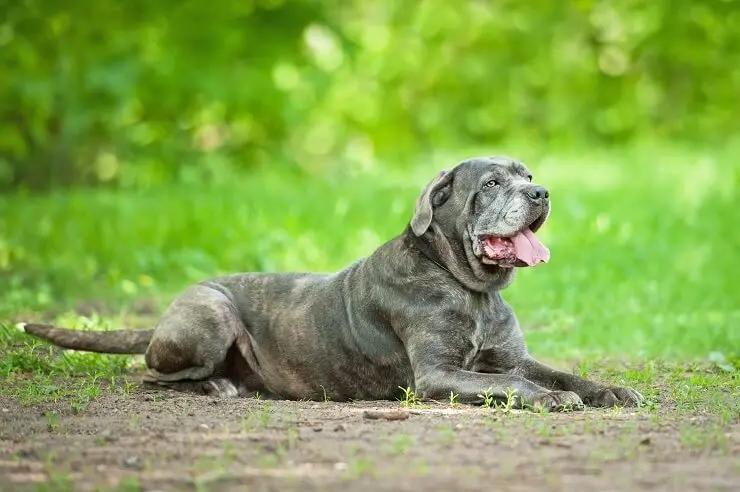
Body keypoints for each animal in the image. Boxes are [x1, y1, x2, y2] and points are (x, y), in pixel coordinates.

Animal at [24, 156, 640, 410]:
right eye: (491, 184)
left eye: (528, 175)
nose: (541, 192)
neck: (470, 288)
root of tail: (160, 320)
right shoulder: (437, 375)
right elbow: (516, 384)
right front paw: (553, 399)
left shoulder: (512, 356)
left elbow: (559, 372)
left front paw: (607, 390)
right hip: (209, 314)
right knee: (151, 378)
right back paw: (216, 387)